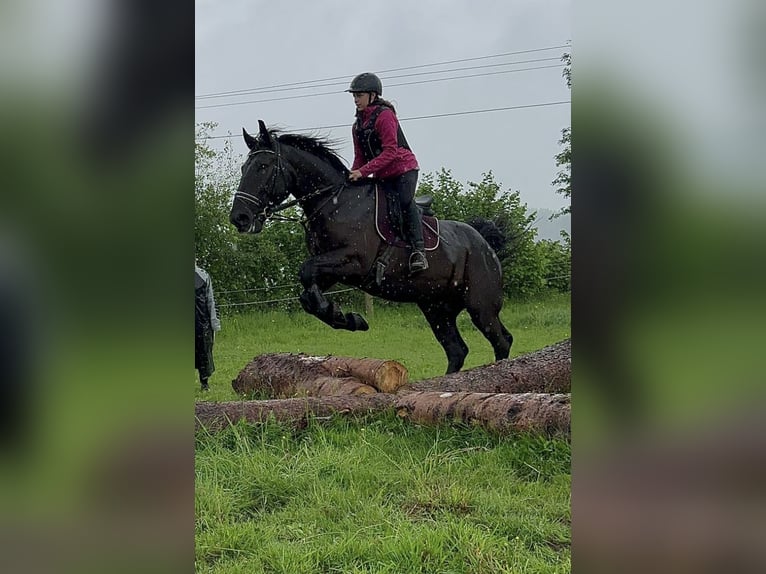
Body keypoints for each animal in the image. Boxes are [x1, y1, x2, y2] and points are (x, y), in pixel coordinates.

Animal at [230, 119, 516, 376]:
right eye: (245, 167)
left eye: (263, 167)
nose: (239, 218)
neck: (334, 202)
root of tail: (485, 244)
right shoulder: (332, 270)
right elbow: (307, 293)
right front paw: (345, 318)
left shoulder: (354, 262)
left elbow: (306, 271)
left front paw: (345, 317)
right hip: (436, 308)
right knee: (457, 350)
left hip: (480, 305)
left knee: (501, 340)